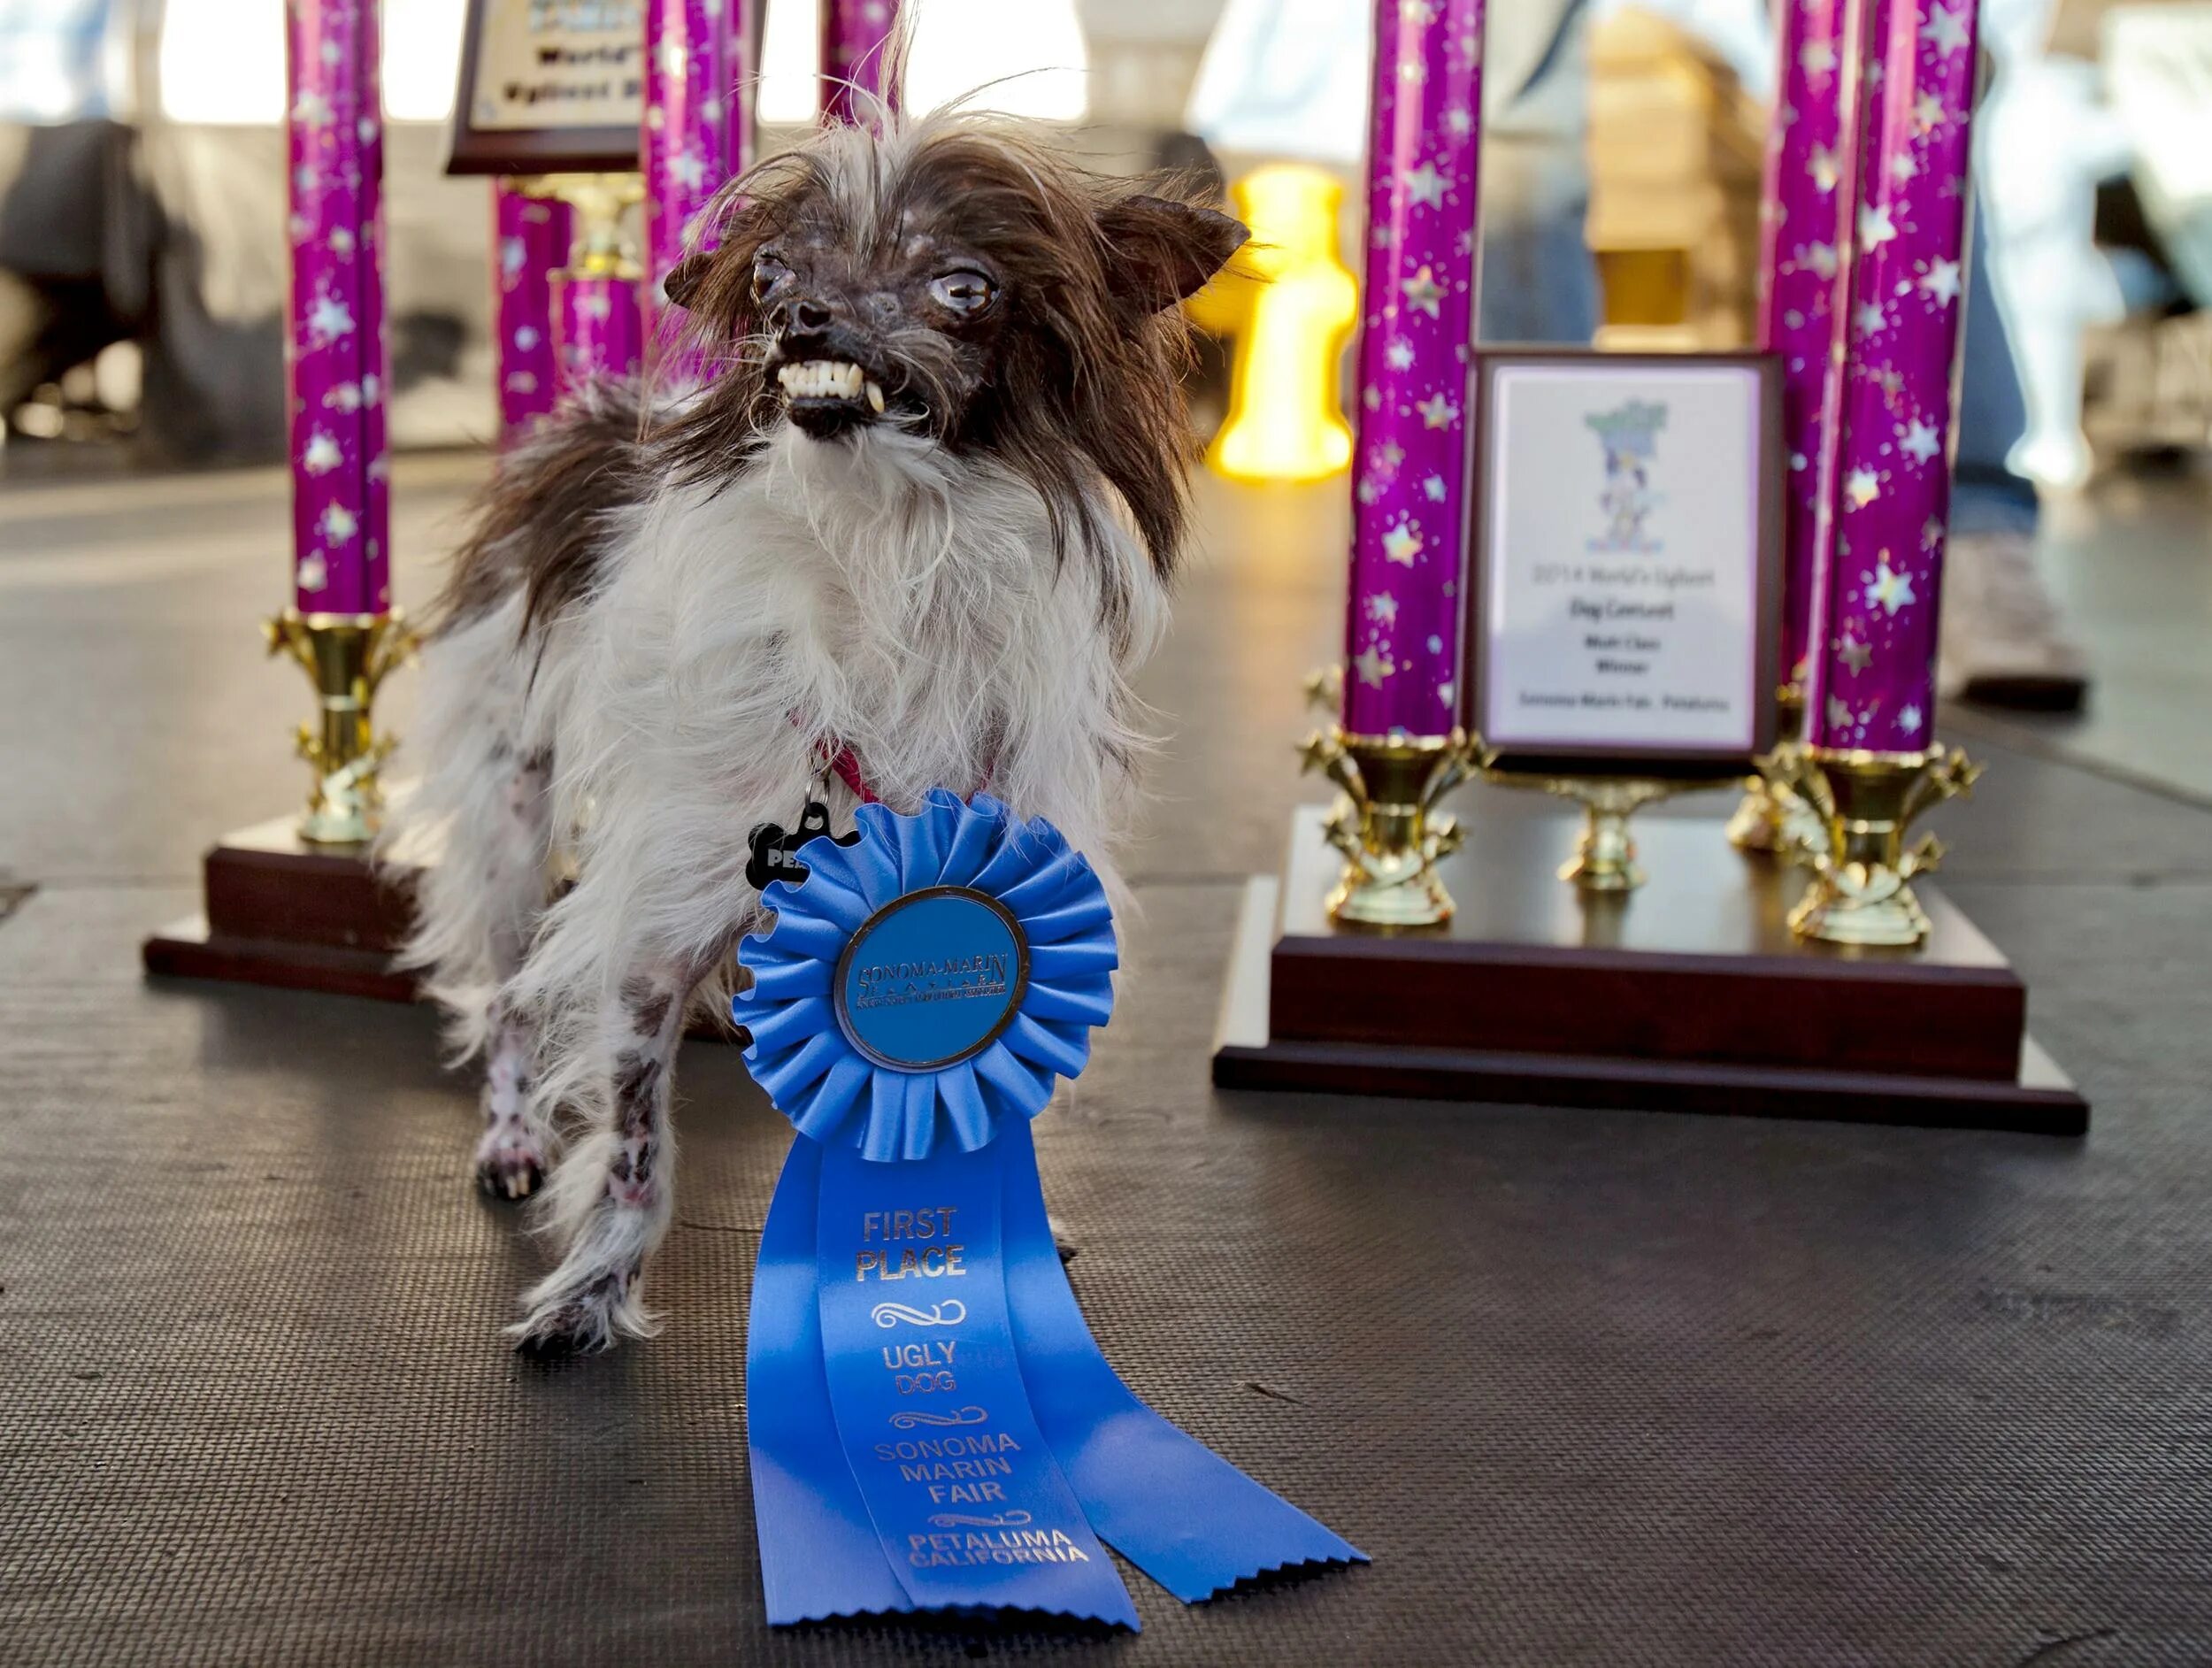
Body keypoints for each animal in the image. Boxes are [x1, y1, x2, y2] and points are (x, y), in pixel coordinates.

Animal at [391, 113, 1256, 1354]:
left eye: (963, 285)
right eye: (767, 275)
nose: (803, 316)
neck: (887, 548)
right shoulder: (655, 925)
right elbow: (634, 1144)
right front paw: (592, 1290)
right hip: (512, 815)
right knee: (507, 994)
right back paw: (509, 1140)